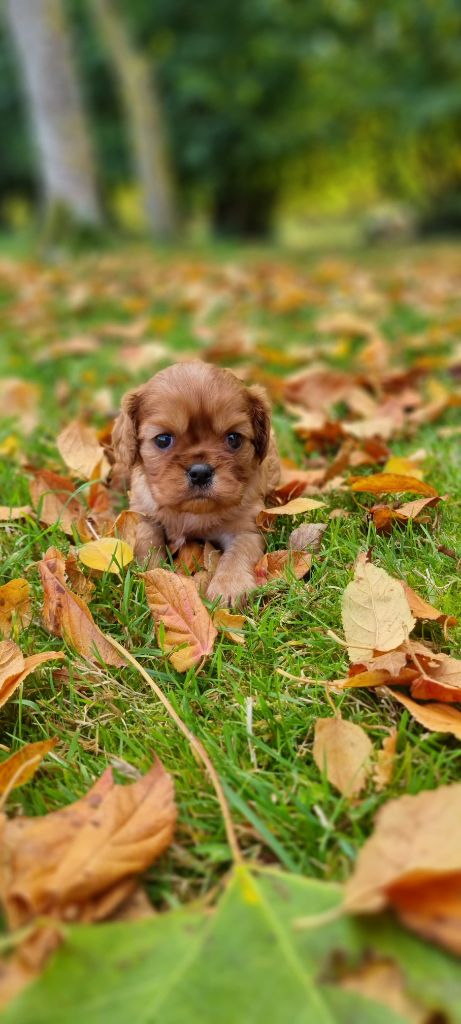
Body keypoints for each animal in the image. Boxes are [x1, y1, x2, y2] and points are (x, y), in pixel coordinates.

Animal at [110, 362, 280, 602]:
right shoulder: (142, 513)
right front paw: (153, 574)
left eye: (233, 438)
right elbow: (146, 541)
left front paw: (230, 586)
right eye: (163, 439)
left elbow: (240, 551)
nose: (200, 473)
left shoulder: (247, 527)